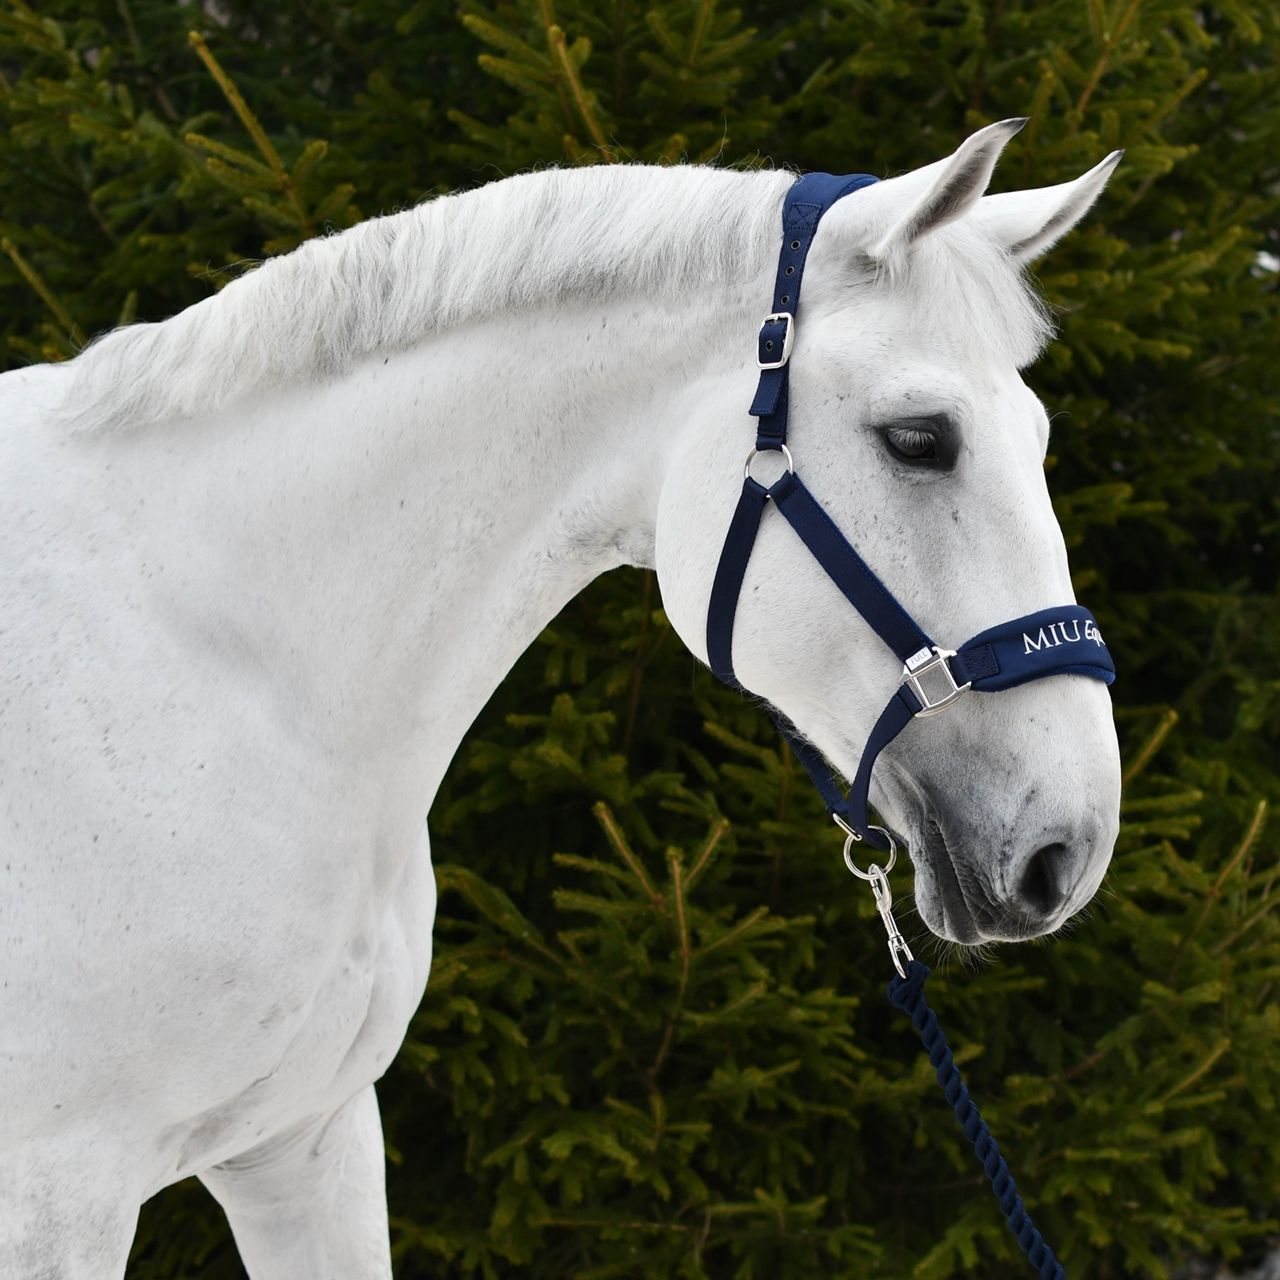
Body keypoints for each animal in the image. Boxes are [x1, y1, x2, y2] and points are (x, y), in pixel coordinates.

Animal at [0, 117, 1121, 1269]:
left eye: (1035, 436)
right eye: (918, 438)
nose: (1068, 852)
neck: (225, 668)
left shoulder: (307, 1142)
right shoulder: (59, 1190)